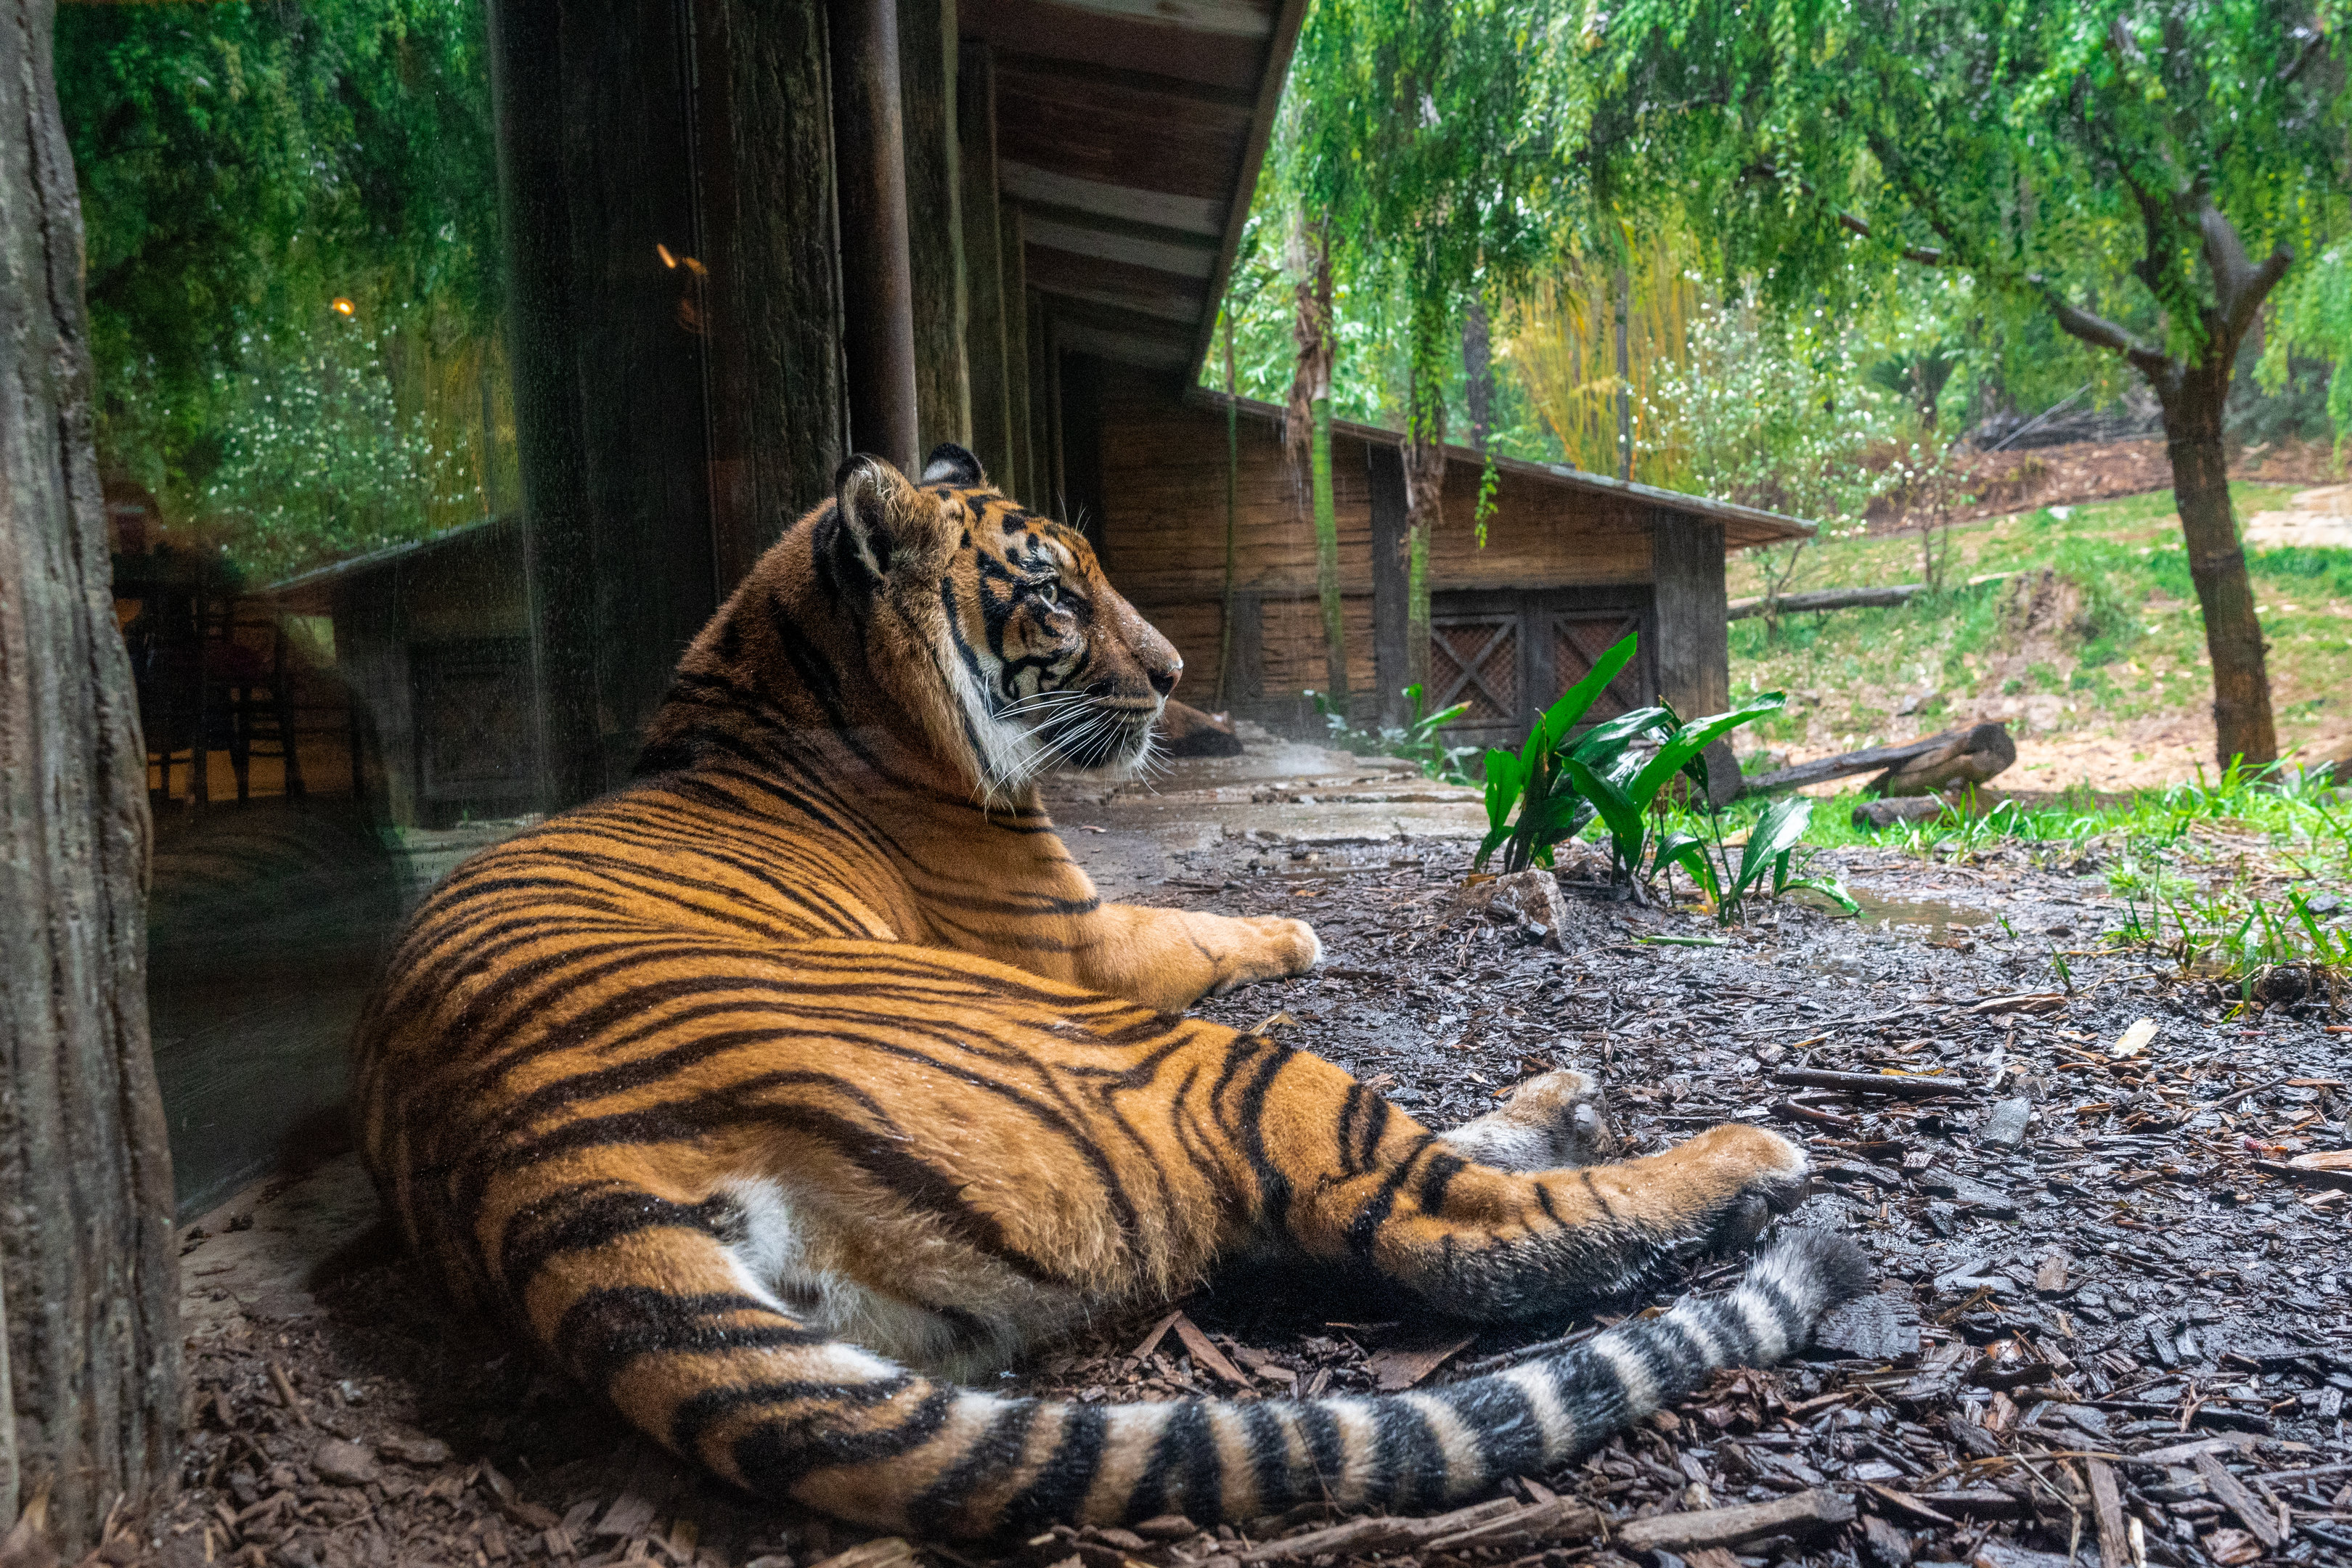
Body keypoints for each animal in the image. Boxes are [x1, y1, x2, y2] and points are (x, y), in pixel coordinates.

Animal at [354, 443, 1868, 1540]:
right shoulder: (1078, 947)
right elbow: (1188, 925)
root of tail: (534, 1167)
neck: (784, 688)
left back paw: (1567, 1102)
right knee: (1457, 1228)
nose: (1177, 671)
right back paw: (1740, 1161)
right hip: (1179, 1060)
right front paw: (1296, 932)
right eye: (1059, 596)